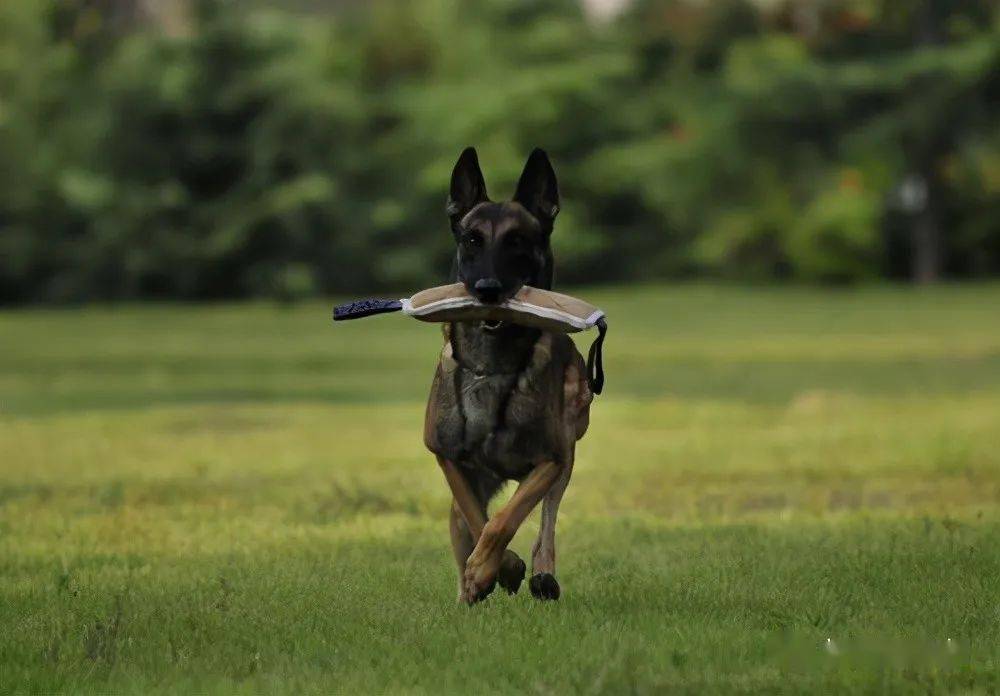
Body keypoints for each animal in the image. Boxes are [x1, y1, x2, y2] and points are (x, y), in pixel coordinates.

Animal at [424, 148, 592, 604]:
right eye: (472, 240)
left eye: (517, 241)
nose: (487, 289)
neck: (492, 364)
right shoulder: (448, 458)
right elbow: (478, 519)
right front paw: (491, 571)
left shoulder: (550, 459)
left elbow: (506, 519)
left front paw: (496, 568)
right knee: (465, 524)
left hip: (567, 450)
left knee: (546, 520)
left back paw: (542, 574)